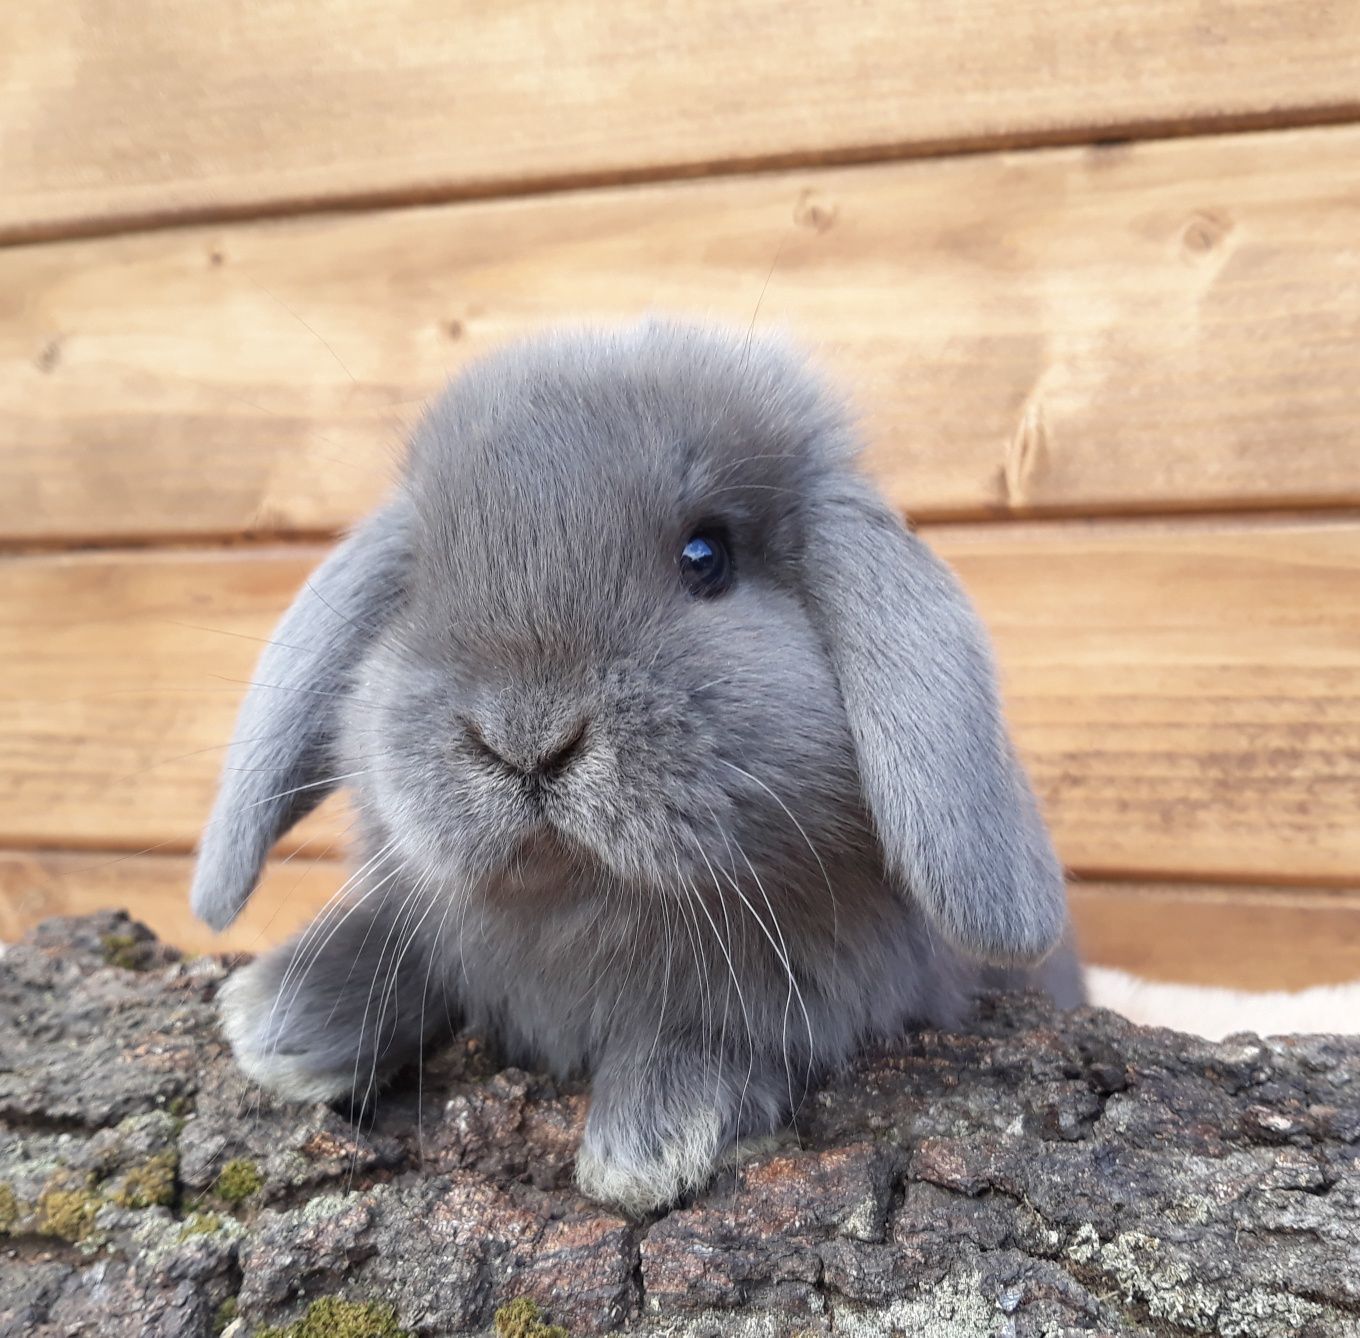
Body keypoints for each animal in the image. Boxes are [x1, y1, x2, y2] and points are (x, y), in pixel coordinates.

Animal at [189, 316, 1082, 1212]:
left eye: (707, 556)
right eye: (418, 583)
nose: (526, 737)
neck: (582, 903)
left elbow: (734, 1028)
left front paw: (650, 1137)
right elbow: (407, 947)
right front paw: (280, 1017)